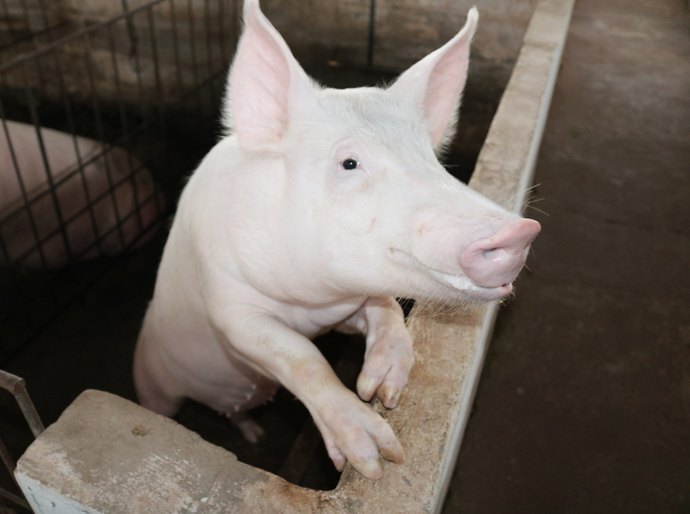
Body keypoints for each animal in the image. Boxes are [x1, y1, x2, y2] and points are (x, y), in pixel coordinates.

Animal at [133, 0, 536, 480]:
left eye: (430, 158)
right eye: (349, 163)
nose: (520, 231)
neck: (312, 303)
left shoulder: (344, 309)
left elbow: (386, 310)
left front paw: (382, 390)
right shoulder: (229, 308)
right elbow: (300, 356)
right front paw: (376, 458)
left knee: (239, 413)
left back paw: (256, 434)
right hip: (153, 384)